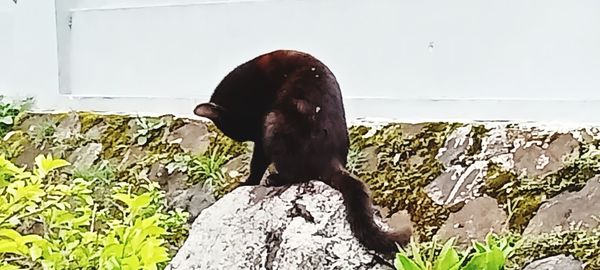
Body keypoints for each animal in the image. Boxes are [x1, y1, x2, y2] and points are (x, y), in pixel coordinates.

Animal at [195, 49, 410, 254]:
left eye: (238, 129)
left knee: (297, 174)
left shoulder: (261, 129)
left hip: (273, 120)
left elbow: (257, 162)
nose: (248, 135)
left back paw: (275, 178)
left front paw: (248, 182)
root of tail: (332, 158)